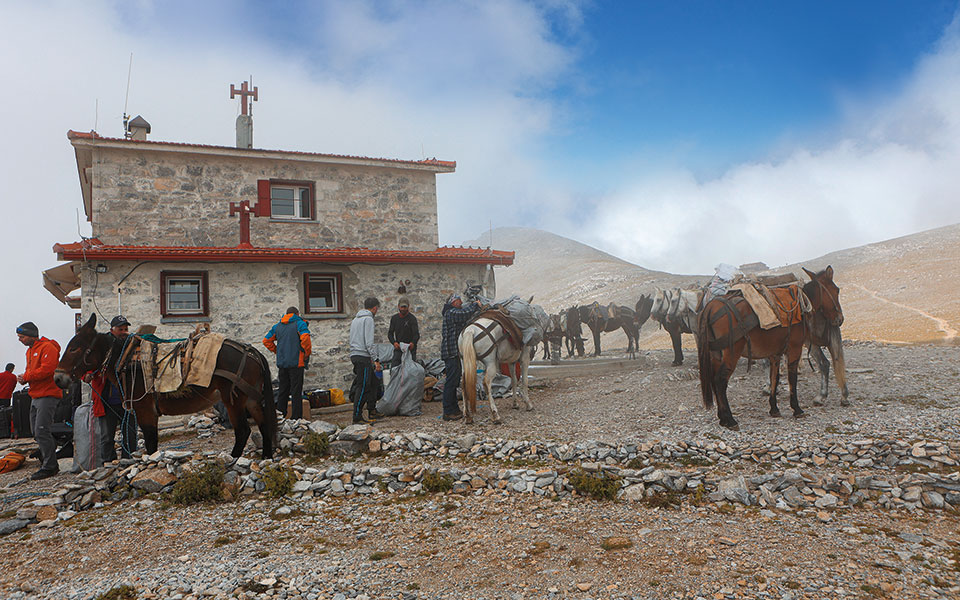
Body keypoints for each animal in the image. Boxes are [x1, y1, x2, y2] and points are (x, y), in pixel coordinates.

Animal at [55, 314, 276, 460]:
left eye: (74, 348)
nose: (58, 378)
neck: (126, 358)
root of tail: (251, 351)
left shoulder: (145, 410)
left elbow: (151, 443)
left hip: (234, 399)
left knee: (243, 431)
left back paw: (232, 460)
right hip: (251, 399)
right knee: (264, 425)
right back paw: (266, 457)